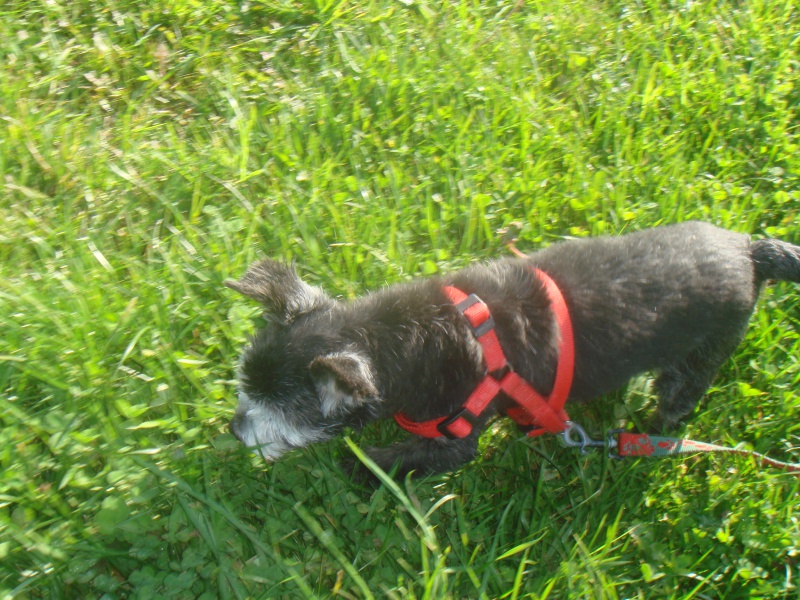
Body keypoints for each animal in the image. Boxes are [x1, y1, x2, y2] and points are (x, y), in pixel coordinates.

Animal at [225, 221, 800, 478]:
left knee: (679, 397)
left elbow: (382, 460)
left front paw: (349, 467)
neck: (401, 336)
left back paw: (652, 432)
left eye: (278, 413)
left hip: (700, 354)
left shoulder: (455, 439)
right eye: (242, 392)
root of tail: (750, 251)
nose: (233, 429)